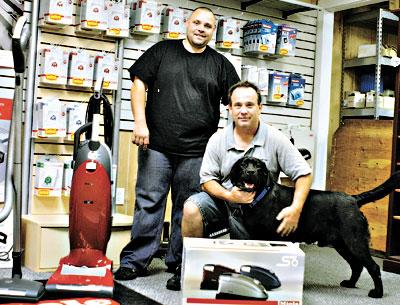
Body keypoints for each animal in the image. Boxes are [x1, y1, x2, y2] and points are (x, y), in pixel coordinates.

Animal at [228, 156, 400, 298]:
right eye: (243, 164)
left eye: (259, 166)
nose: (250, 172)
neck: (260, 196)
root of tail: (353, 199)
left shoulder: (272, 239)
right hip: (342, 245)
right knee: (356, 265)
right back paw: (350, 283)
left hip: (355, 242)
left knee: (373, 267)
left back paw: (377, 293)